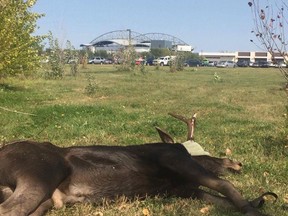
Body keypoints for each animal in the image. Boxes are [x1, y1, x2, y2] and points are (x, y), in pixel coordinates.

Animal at [0, 112, 276, 215]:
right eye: (206, 154)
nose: (237, 163)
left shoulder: (186, 190)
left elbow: (221, 199)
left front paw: (258, 200)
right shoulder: (174, 159)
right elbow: (225, 185)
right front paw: (255, 208)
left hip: (47, 199)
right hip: (42, 172)